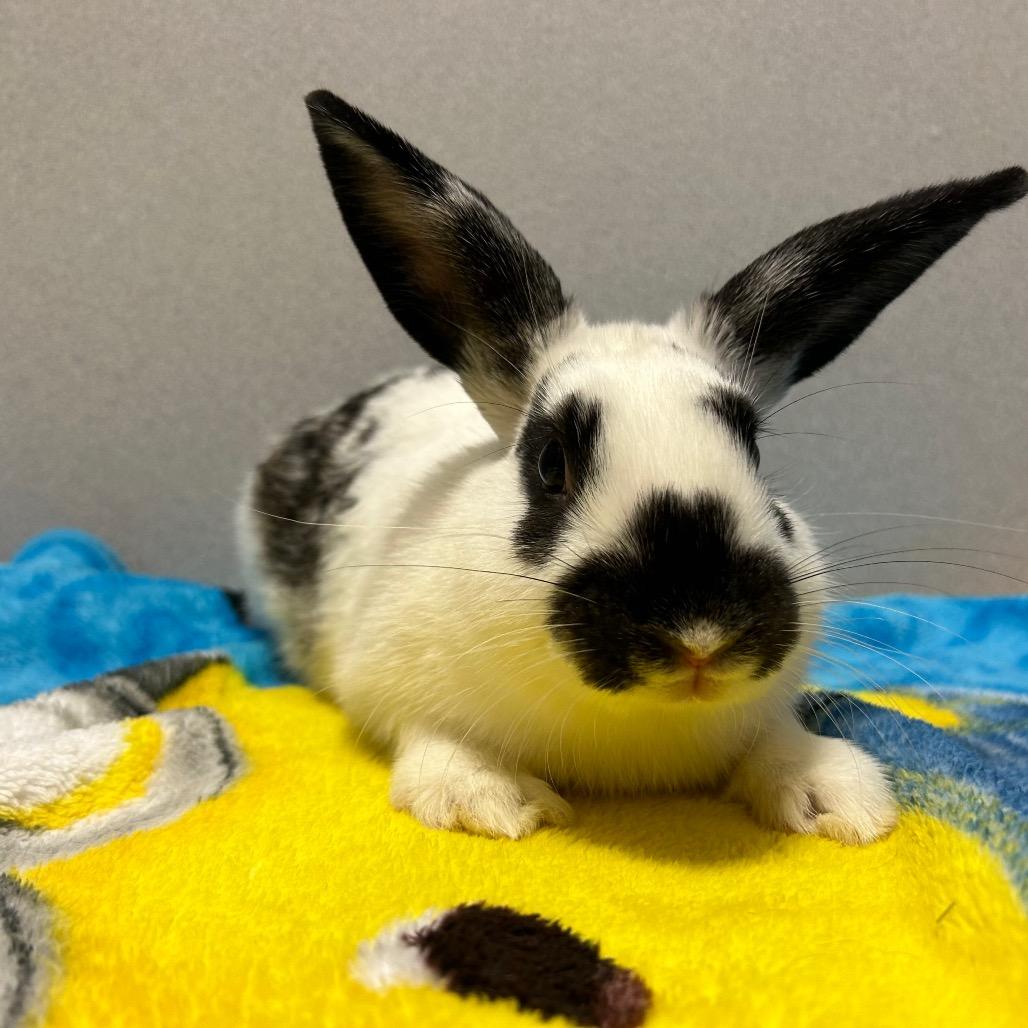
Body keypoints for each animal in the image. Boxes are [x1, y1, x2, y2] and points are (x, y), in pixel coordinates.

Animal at [239, 88, 1027, 842]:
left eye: (755, 448)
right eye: (550, 462)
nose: (701, 634)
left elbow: (775, 740)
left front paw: (836, 797)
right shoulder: (393, 684)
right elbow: (437, 737)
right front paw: (490, 802)